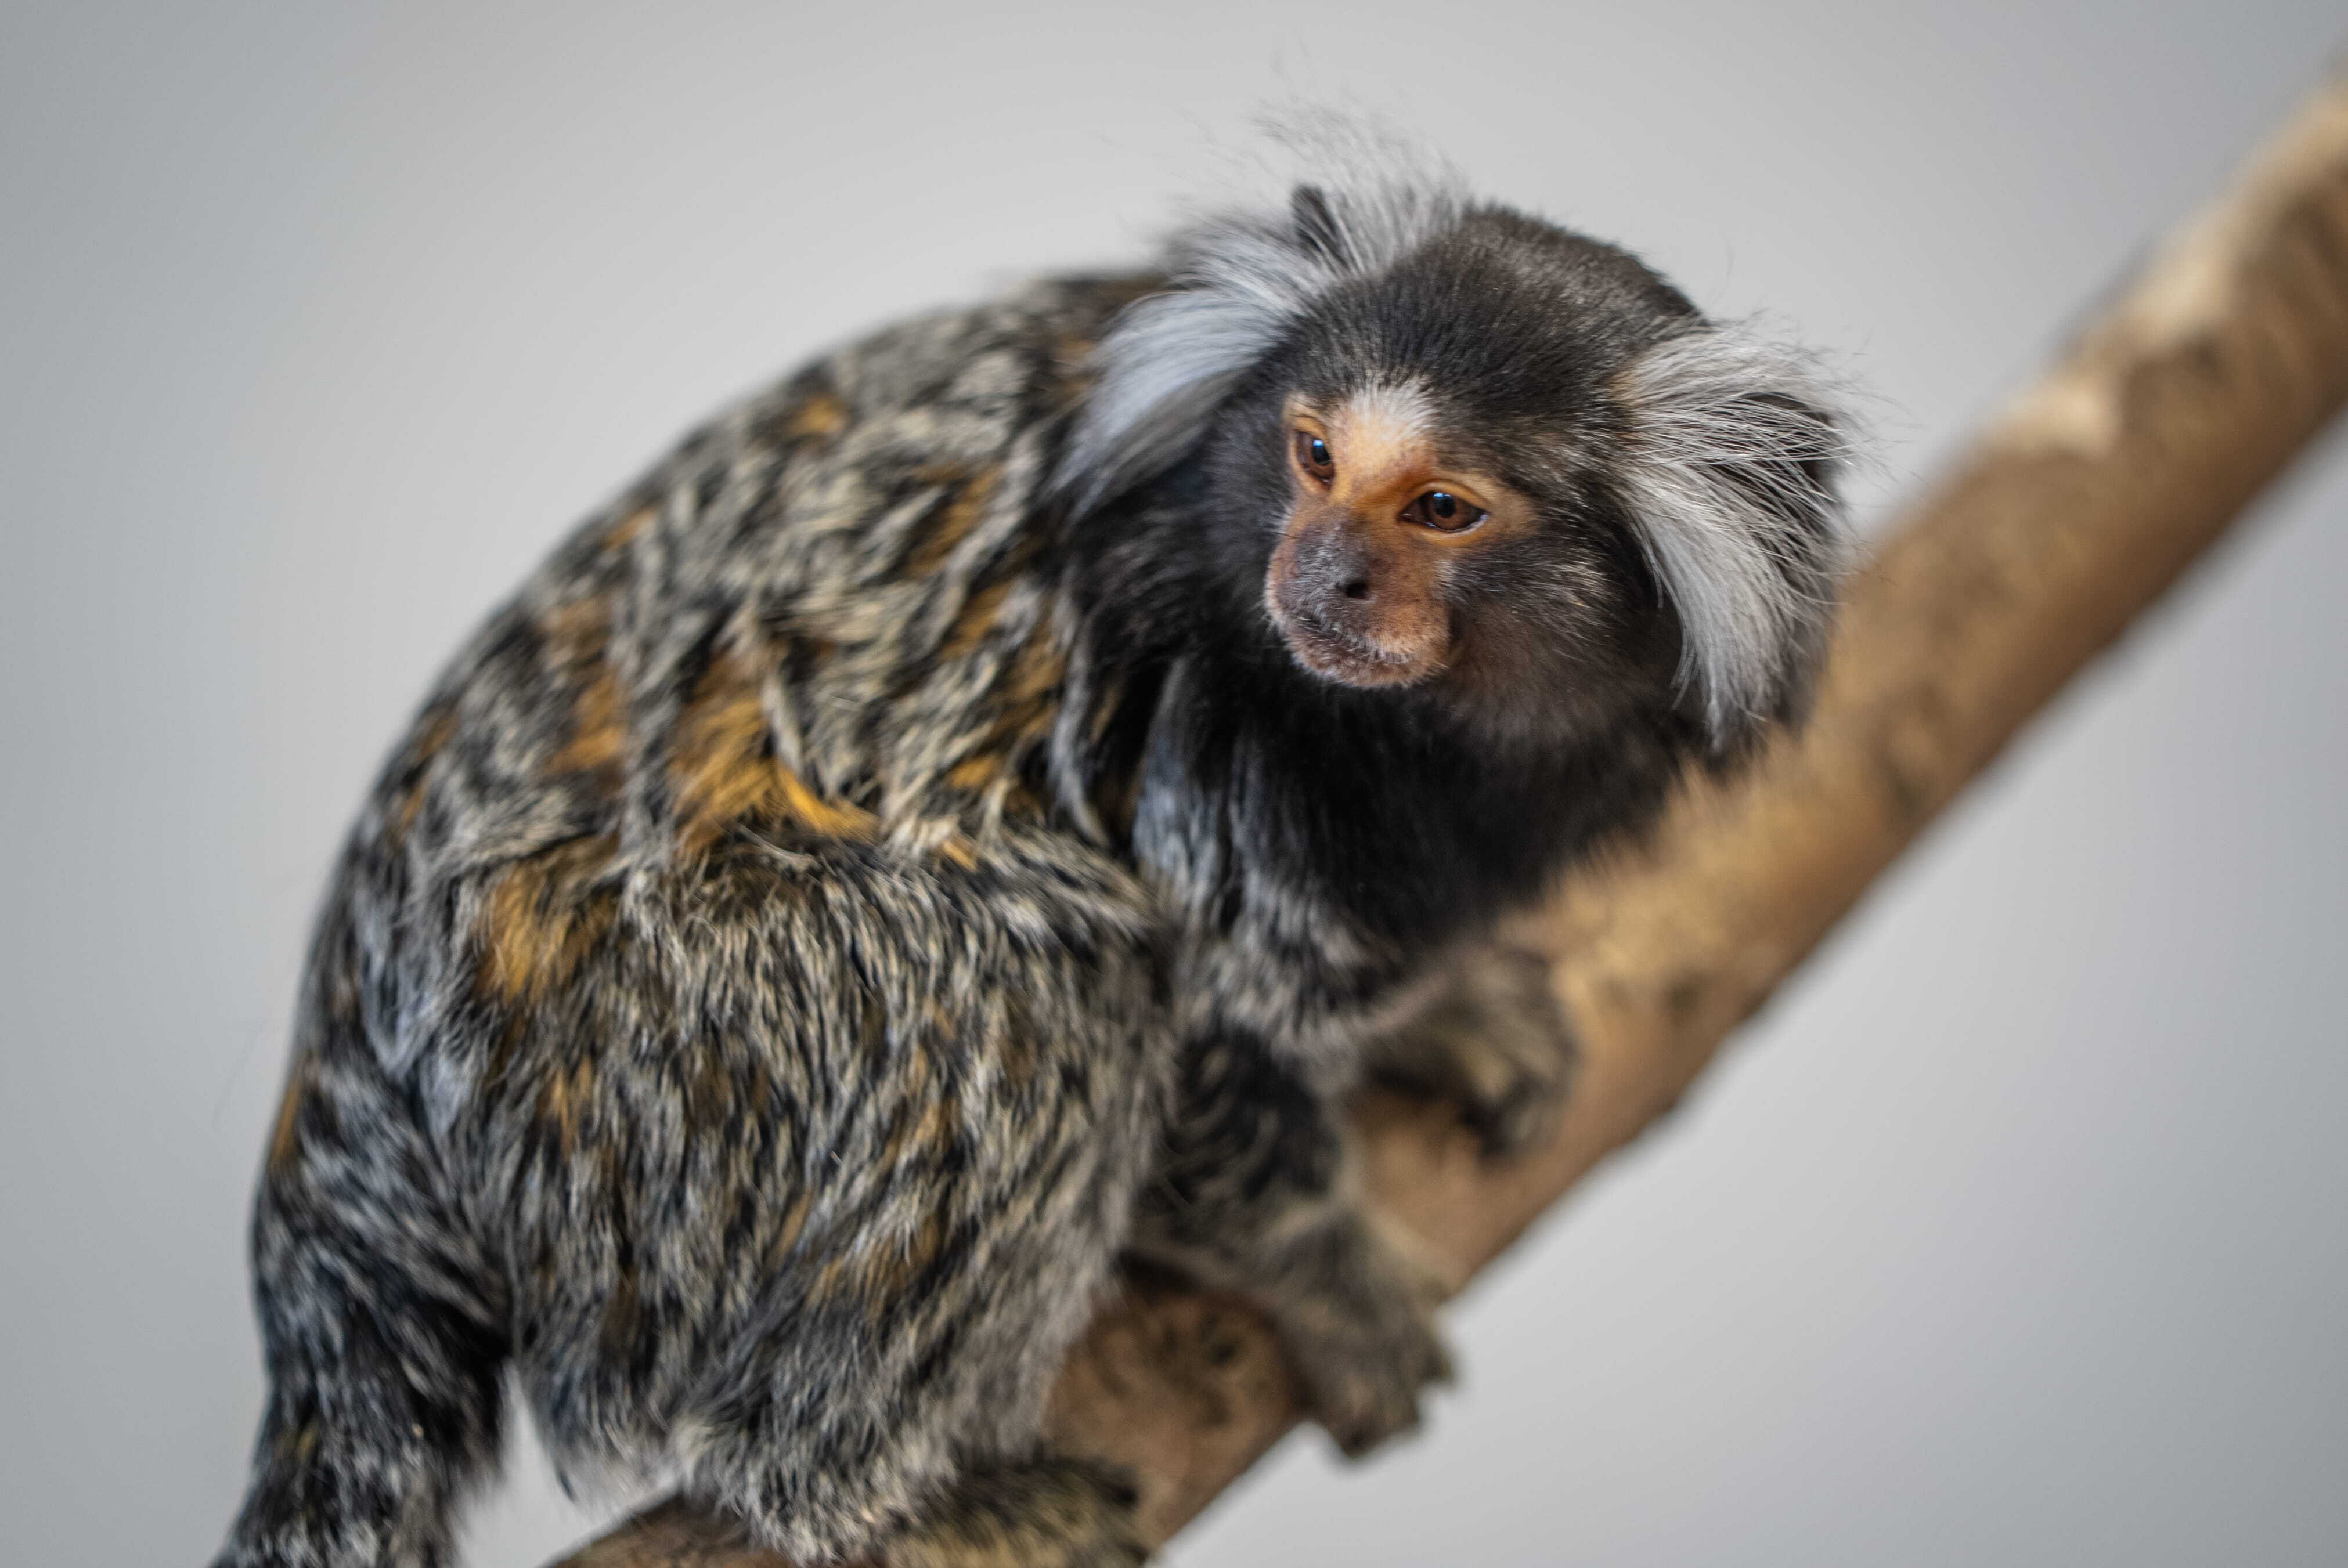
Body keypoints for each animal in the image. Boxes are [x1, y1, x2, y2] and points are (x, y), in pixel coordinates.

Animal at [211, 153, 1845, 1568]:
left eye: (1441, 507)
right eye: (1313, 456)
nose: (1321, 574)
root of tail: (338, 1133)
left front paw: (1443, 1020)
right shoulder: (1199, 765)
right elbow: (1191, 1045)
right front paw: (1323, 1263)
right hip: (647, 1053)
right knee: (1020, 993)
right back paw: (878, 1503)